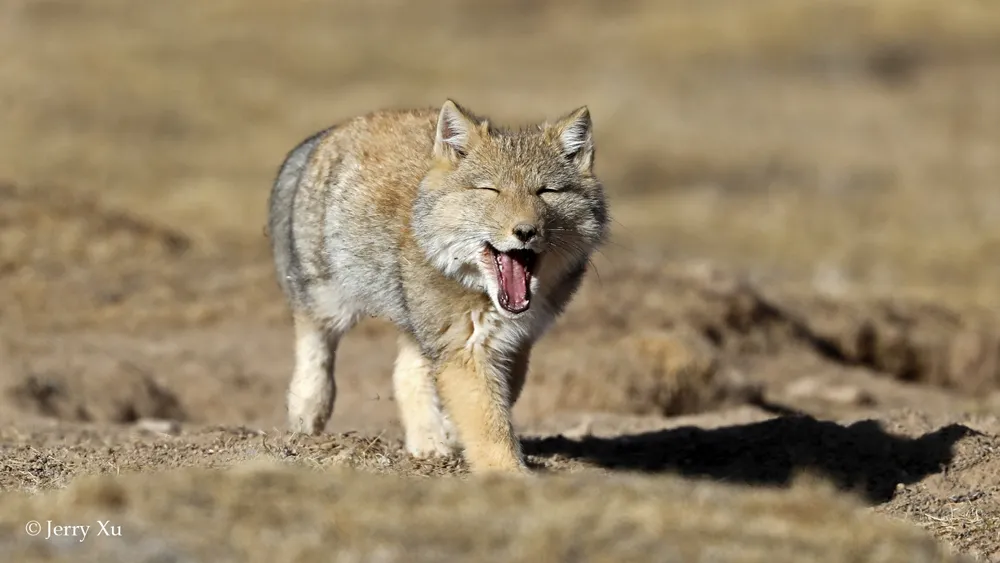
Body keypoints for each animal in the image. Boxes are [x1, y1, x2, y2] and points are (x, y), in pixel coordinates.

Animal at [268, 99, 608, 474]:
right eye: (490, 190)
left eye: (546, 191)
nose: (525, 231)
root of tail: (329, 132)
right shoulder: (464, 348)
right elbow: (488, 424)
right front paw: (510, 474)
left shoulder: (514, 342)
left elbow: (502, 395)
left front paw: (451, 434)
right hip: (329, 303)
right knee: (313, 343)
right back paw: (307, 411)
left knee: (404, 374)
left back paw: (429, 443)